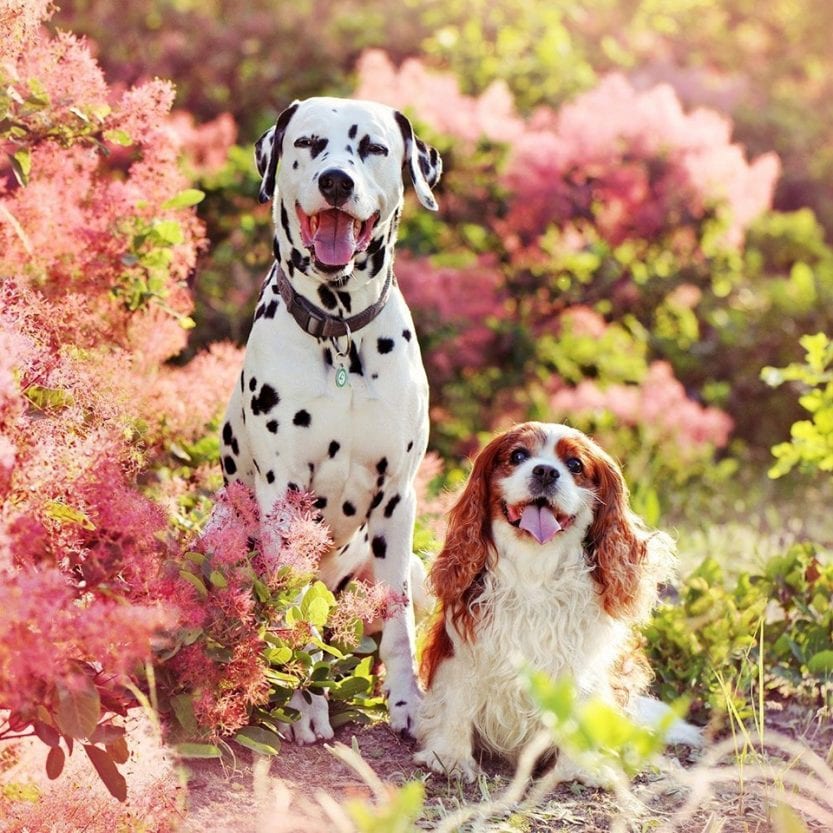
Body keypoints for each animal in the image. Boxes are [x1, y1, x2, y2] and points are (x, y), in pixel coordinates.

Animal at [219, 96, 442, 740]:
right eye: (309, 142)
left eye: (373, 148)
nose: (336, 182)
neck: (340, 333)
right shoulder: (284, 493)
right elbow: (290, 617)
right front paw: (302, 706)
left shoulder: (398, 499)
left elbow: (399, 623)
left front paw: (407, 703)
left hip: (416, 567)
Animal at [414, 422, 696, 780]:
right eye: (518, 456)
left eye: (575, 465)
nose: (546, 471)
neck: (536, 568)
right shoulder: (462, 651)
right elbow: (457, 705)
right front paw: (450, 757)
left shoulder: (583, 667)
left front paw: (579, 768)